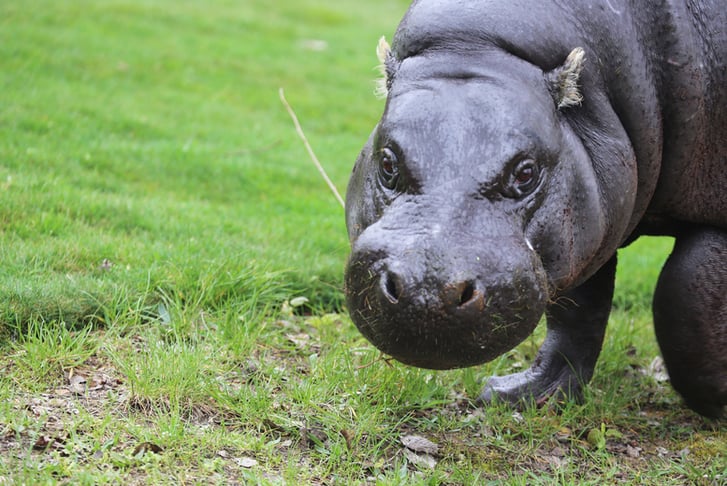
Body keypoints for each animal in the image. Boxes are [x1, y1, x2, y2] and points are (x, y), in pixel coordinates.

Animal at [344, 0, 724, 418]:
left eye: (526, 172)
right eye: (387, 162)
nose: (426, 289)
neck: (478, 45)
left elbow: (684, 293)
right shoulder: (589, 228)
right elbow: (580, 312)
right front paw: (525, 395)